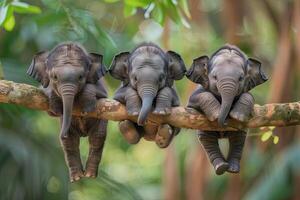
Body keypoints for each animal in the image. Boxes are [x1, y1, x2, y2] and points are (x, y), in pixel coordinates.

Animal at [26, 43, 107, 182]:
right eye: (54, 77)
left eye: (81, 77)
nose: (62, 134)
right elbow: (48, 103)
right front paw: (56, 106)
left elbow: (103, 94)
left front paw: (87, 107)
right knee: (70, 143)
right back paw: (77, 177)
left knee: (97, 137)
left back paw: (89, 175)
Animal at [186, 44, 268, 175]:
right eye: (214, 77)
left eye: (241, 78)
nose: (224, 121)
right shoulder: (195, 94)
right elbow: (199, 96)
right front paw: (216, 114)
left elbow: (249, 96)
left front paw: (237, 116)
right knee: (207, 139)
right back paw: (221, 167)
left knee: (238, 139)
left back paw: (233, 169)